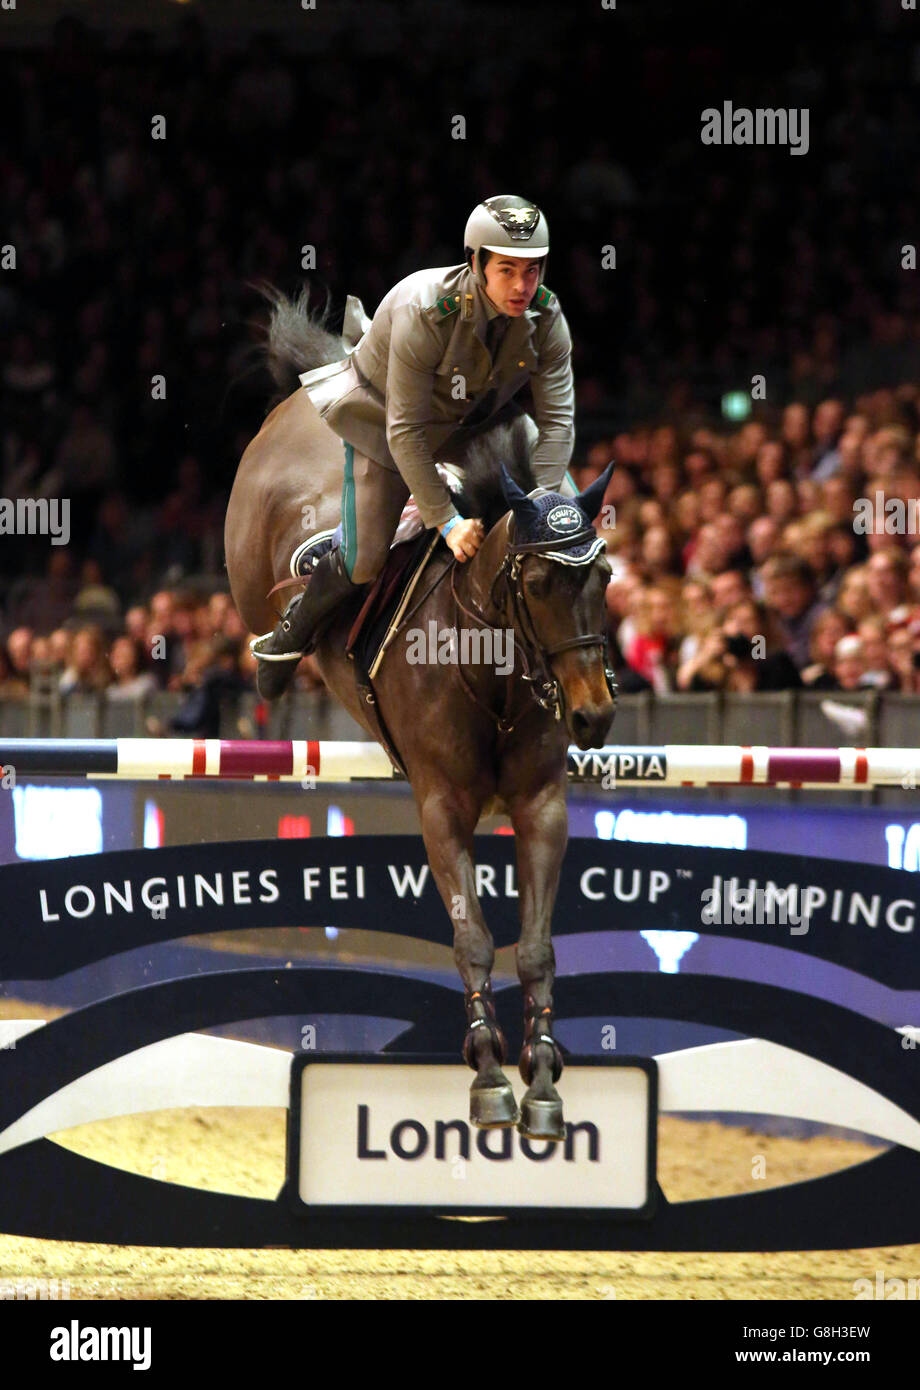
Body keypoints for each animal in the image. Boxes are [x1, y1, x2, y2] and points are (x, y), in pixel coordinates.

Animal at [227, 284, 619, 1139]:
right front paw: (489, 1073)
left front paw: (543, 1076)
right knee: (339, 563)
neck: (495, 674)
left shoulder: (540, 805)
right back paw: (277, 652)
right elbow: (472, 937)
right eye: (539, 583)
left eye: (603, 574)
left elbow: (535, 946)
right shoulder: (441, 805)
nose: (594, 717)